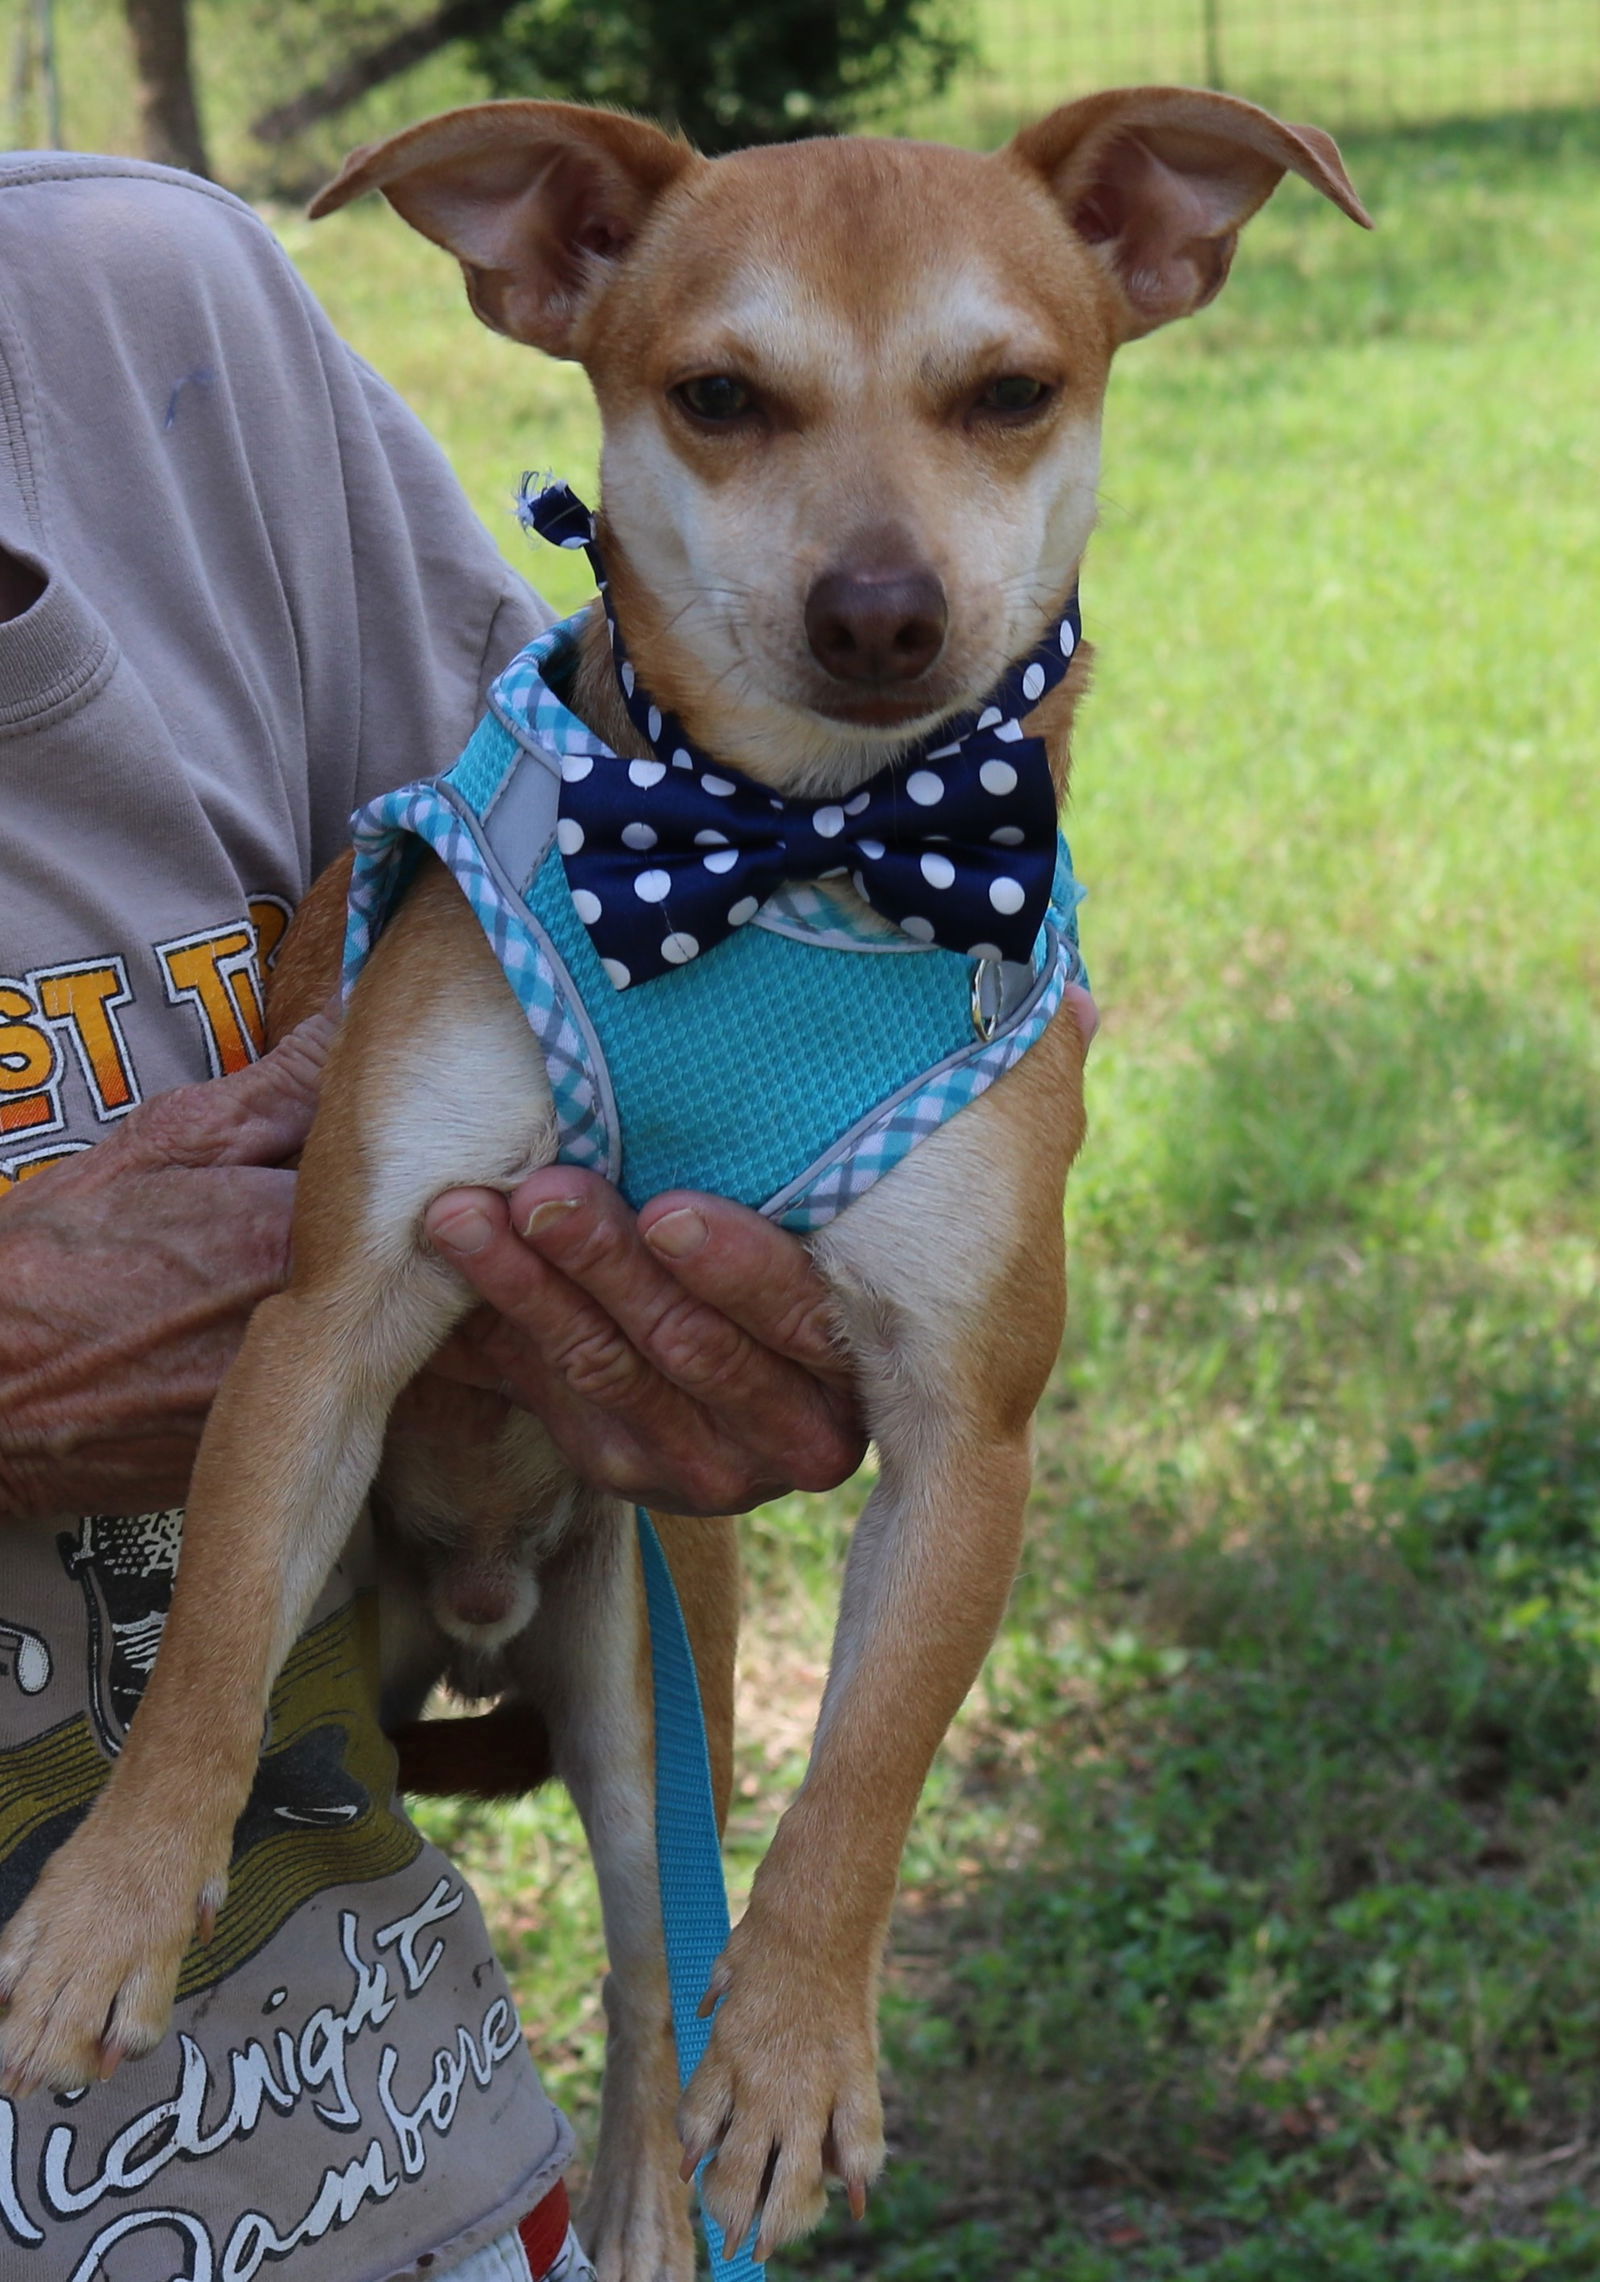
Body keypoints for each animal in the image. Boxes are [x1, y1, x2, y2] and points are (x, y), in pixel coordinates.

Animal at [0, 88, 1360, 2282]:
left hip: (647, 1703)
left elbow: (865, 1775)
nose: (881, 611)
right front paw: (114, 1906)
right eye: (719, 396)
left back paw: (647, 2195)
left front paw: (798, 2051)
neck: (785, 844)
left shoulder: (963, 1431)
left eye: (1010, 392)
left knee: (650, 1971)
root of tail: (471, 1616)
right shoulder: (327, 1321)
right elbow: (201, 1653)